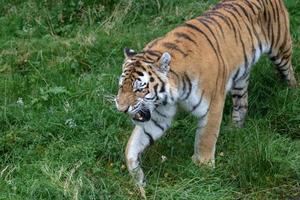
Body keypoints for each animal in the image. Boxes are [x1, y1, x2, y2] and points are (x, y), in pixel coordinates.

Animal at [114, 0, 298, 193]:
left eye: (139, 89)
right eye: (121, 86)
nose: (121, 108)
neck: (173, 94)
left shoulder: (212, 105)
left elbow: (206, 139)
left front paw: (203, 170)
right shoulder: (160, 115)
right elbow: (133, 145)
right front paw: (138, 177)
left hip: (281, 48)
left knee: (290, 73)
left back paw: (292, 96)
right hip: (241, 78)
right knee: (242, 103)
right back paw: (235, 129)